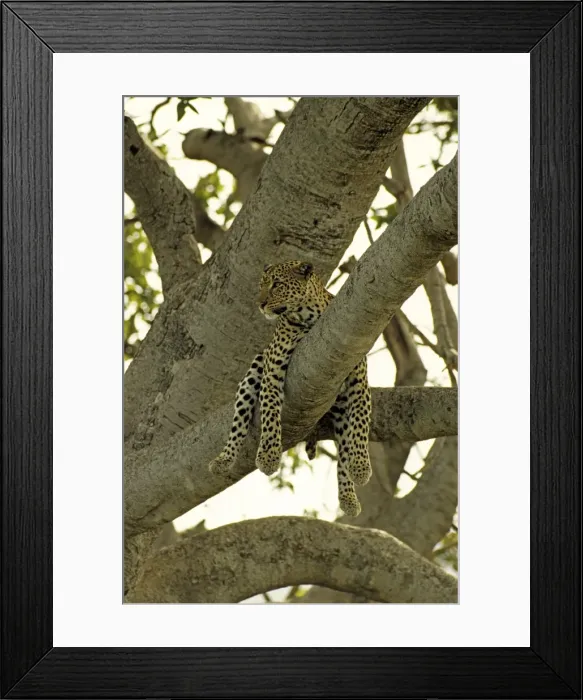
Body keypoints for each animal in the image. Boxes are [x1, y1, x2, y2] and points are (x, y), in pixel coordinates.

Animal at [208, 260, 372, 517]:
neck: (307, 316)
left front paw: (361, 467)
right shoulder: (272, 367)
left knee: (345, 447)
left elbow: (361, 426)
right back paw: (223, 459)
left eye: (277, 284)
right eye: (262, 285)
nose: (260, 304)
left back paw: (348, 498)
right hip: (255, 367)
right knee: (239, 420)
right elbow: (270, 412)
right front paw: (268, 457)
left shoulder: (359, 380)